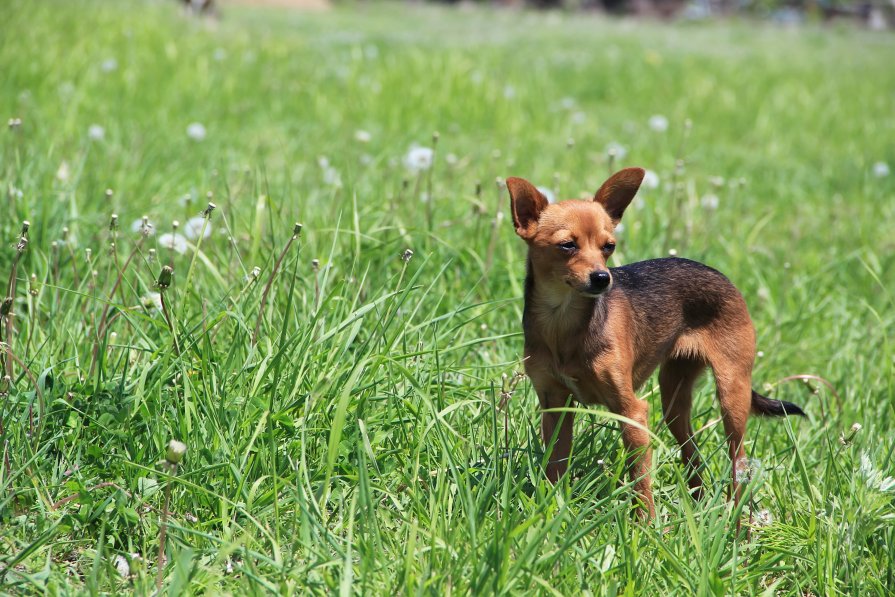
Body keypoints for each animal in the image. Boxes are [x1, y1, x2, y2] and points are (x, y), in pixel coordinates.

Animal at [508, 168, 808, 516]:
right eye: (567, 246)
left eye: (608, 247)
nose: (602, 278)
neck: (563, 321)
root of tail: (720, 275)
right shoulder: (554, 406)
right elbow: (555, 467)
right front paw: (552, 511)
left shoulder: (632, 412)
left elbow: (641, 483)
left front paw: (645, 525)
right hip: (674, 401)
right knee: (693, 456)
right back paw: (698, 507)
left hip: (732, 396)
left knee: (738, 461)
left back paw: (737, 519)